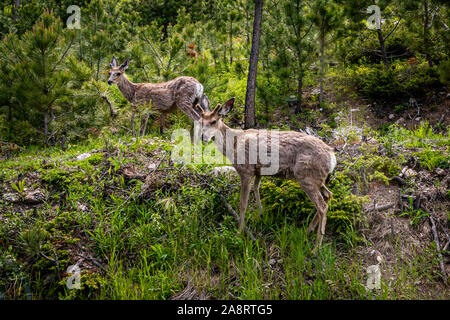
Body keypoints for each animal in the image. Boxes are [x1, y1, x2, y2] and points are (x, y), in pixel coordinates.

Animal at [194, 97, 338, 250]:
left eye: (214, 121)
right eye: (201, 121)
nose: (203, 137)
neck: (233, 145)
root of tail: (332, 157)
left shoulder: (245, 170)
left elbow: (243, 203)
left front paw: (239, 232)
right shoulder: (258, 171)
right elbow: (256, 189)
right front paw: (260, 214)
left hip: (306, 176)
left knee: (322, 206)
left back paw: (316, 247)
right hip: (318, 179)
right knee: (328, 195)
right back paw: (309, 230)